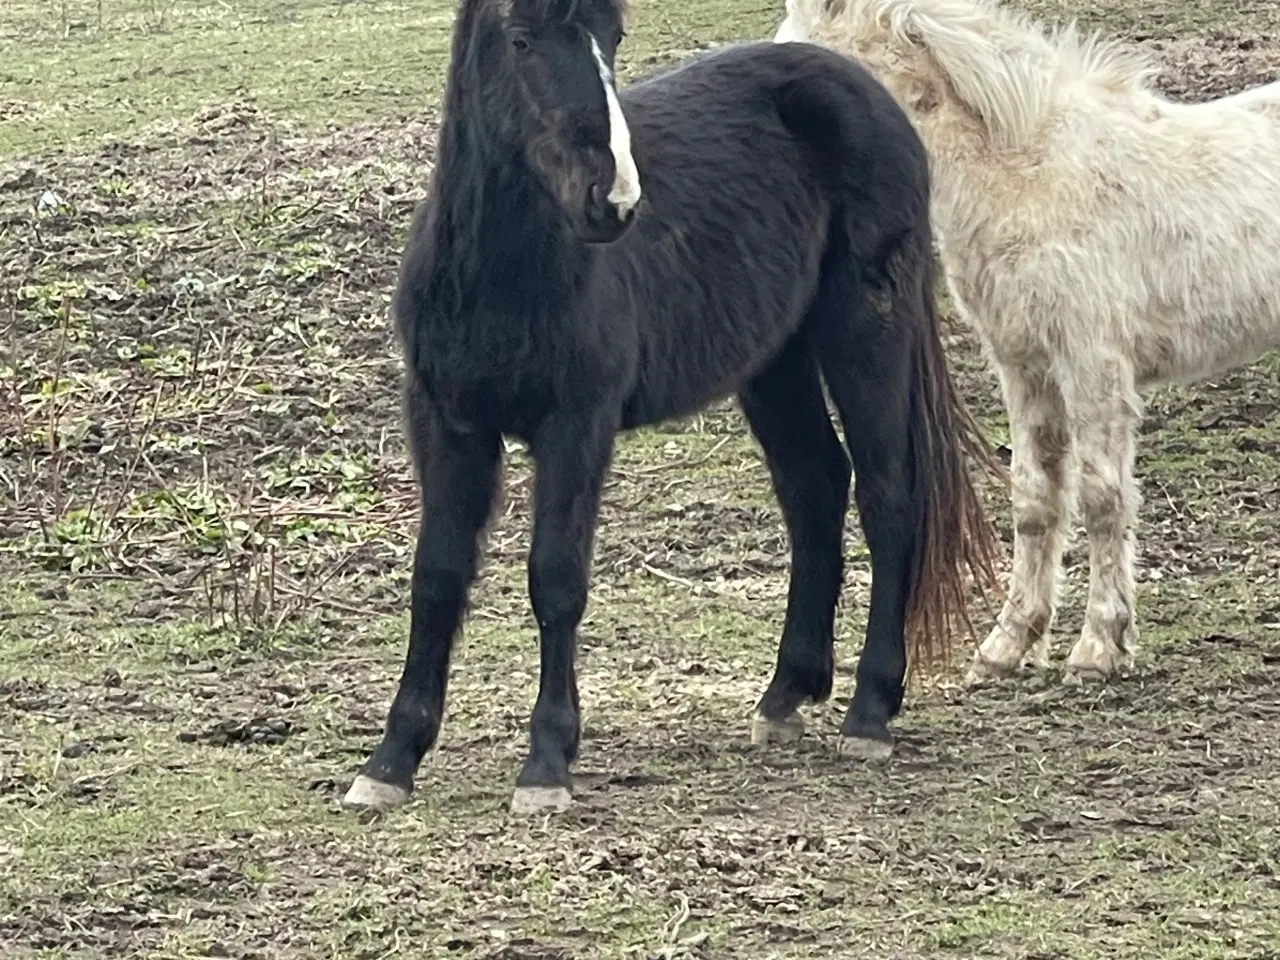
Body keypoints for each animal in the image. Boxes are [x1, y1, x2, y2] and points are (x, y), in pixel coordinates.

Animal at [345, 0, 1003, 814]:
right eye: (520, 38)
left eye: (612, 37)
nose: (613, 201)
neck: (499, 277)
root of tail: (872, 96)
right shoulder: (445, 422)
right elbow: (436, 577)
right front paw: (391, 760)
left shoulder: (577, 425)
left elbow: (556, 578)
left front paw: (547, 764)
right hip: (774, 361)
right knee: (816, 488)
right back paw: (785, 695)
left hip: (865, 332)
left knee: (888, 497)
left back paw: (870, 712)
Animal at [773, 0, 1280, 686]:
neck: (1029, 172)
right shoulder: (1024, 364)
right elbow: (1035, 497)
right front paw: (1009, 643)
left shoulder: (1092, 363)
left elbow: (1101, 496)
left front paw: (1099, 645)